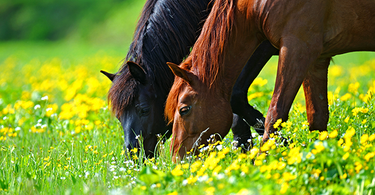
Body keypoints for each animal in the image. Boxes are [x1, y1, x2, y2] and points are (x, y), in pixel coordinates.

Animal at [166, 0, 375, 158]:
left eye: (184, 110)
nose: (177, 159)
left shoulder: (298, 47)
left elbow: (275, 113)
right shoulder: (316, 59)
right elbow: (317, 117)